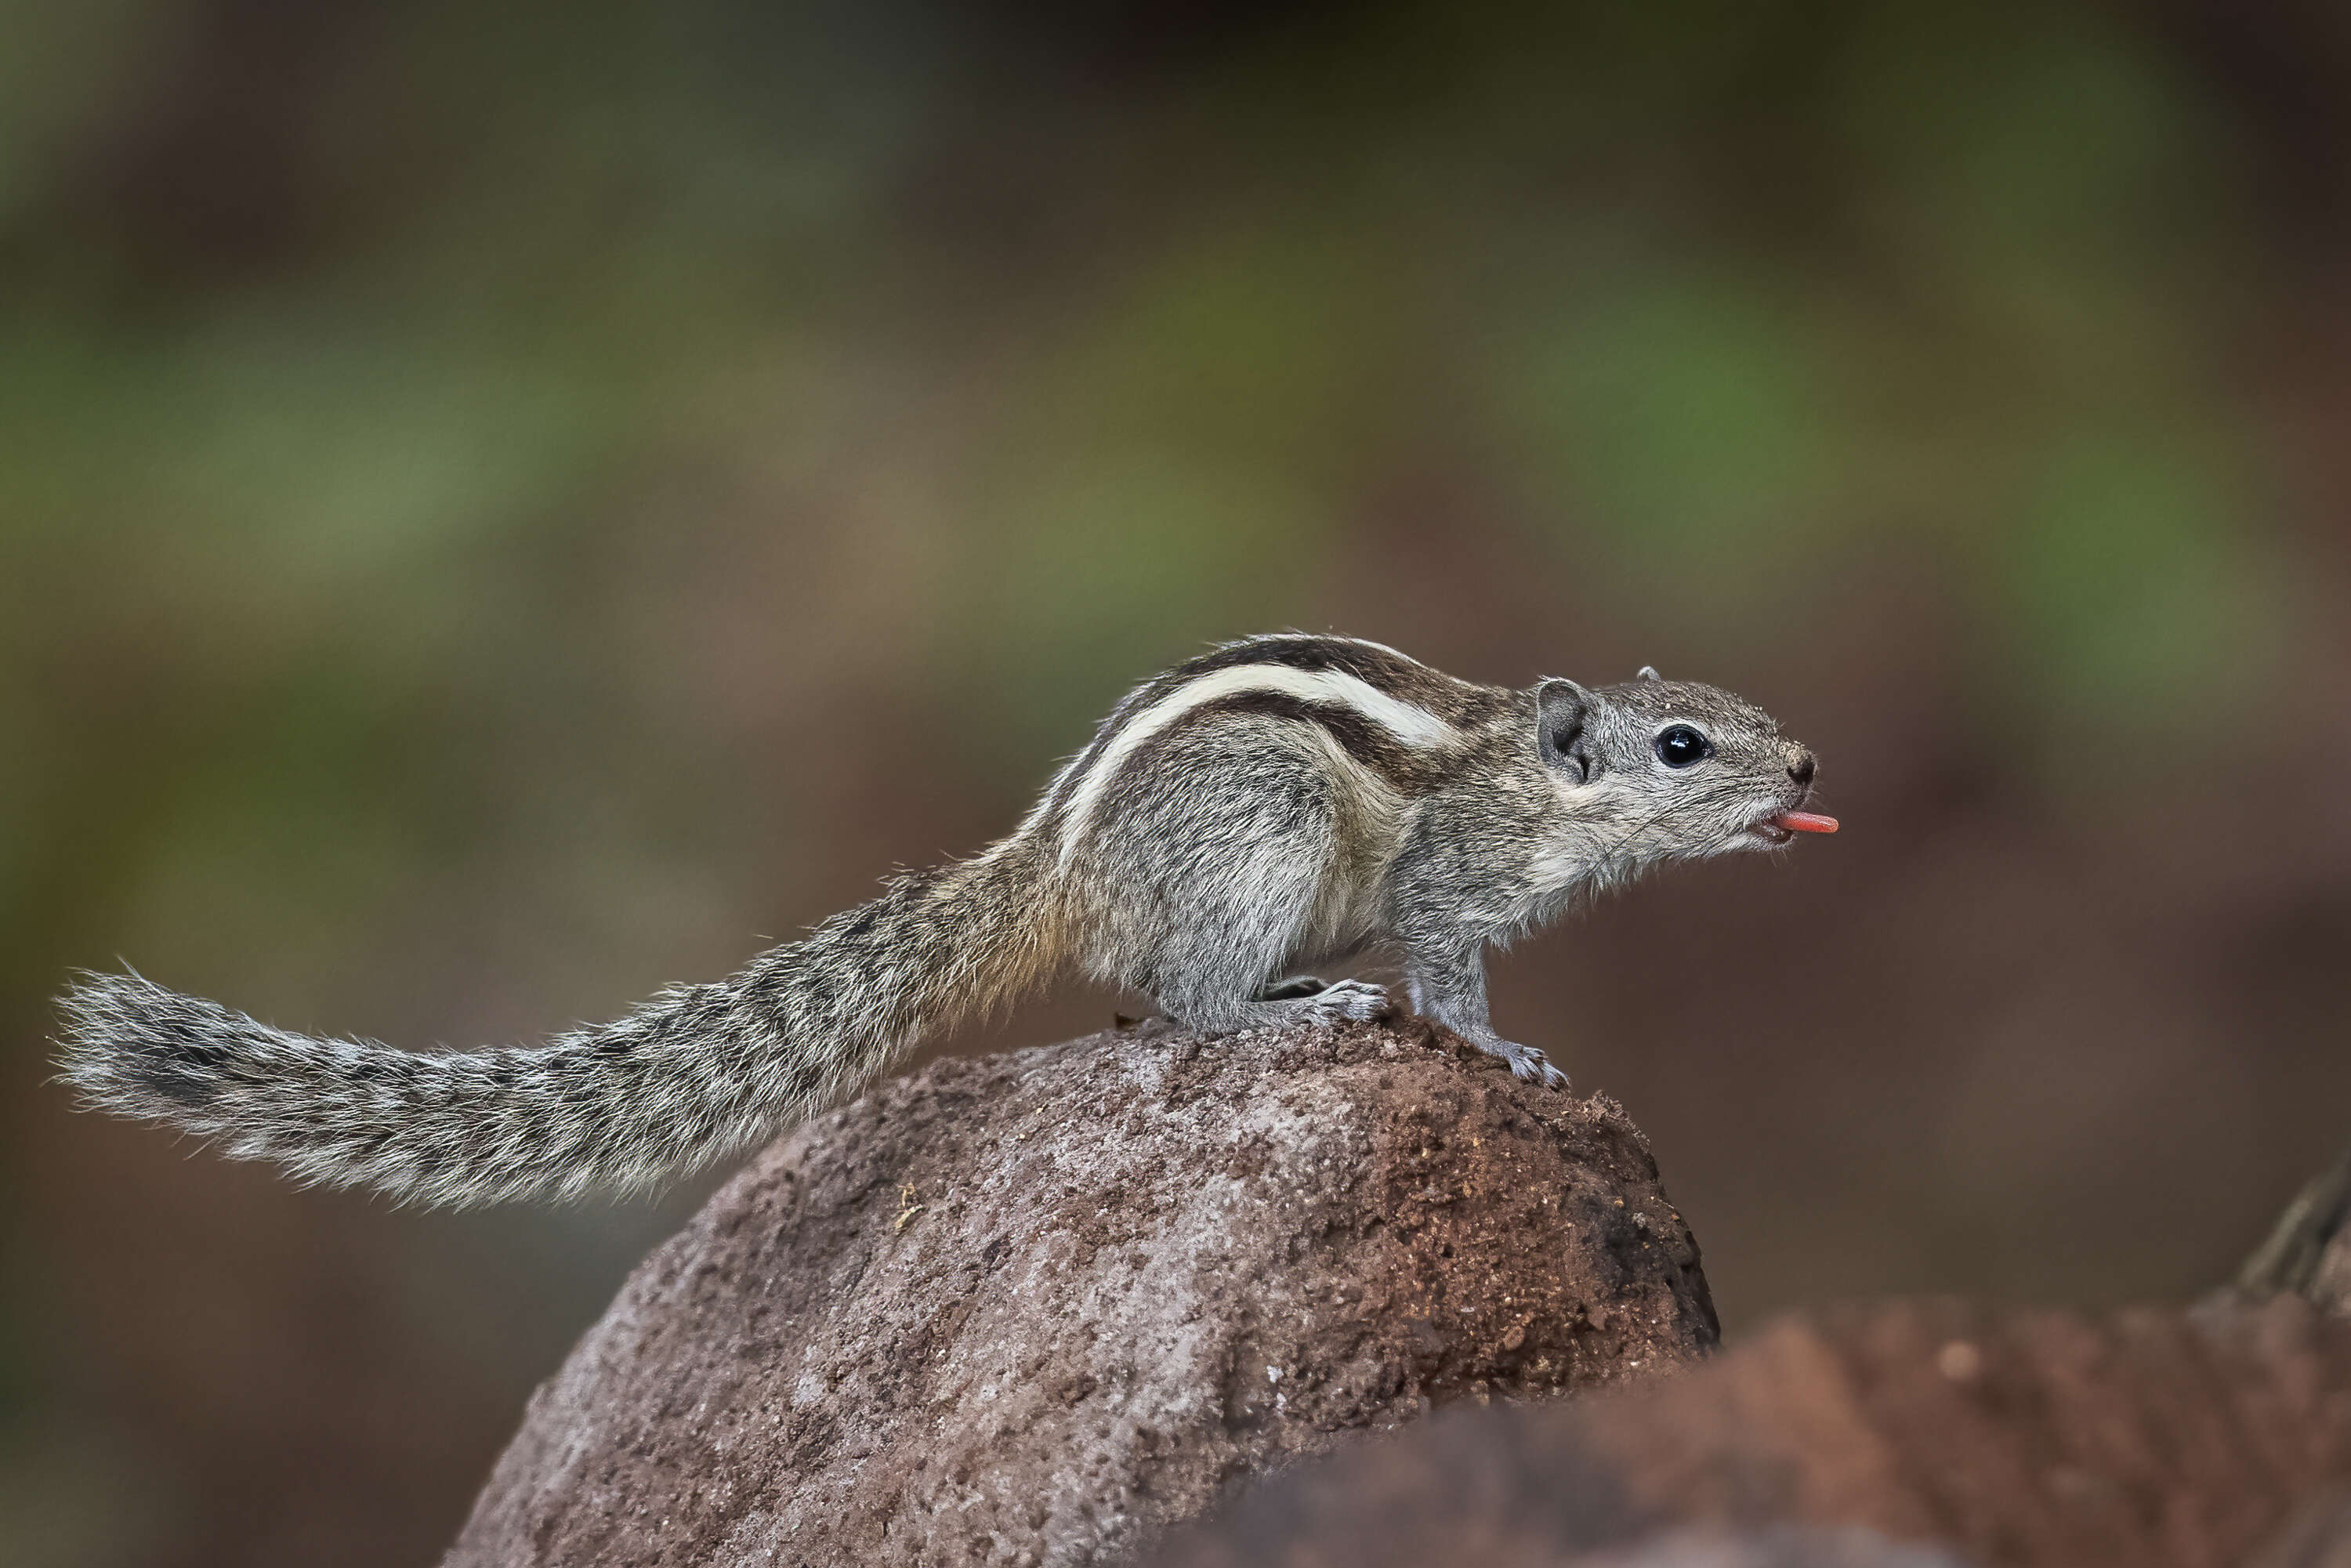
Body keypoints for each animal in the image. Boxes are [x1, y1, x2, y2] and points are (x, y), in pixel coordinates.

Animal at [45, 630, 1824, 1213]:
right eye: (1684, 746)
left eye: (1745, 712)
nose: (1811, 767)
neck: (1533, 777)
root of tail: (1051, 866)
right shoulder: (1451, 882)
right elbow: (1451, 978)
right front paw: (1509, 1053)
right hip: (1262, 832)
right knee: (1182, 1000)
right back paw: (1292, 1007)